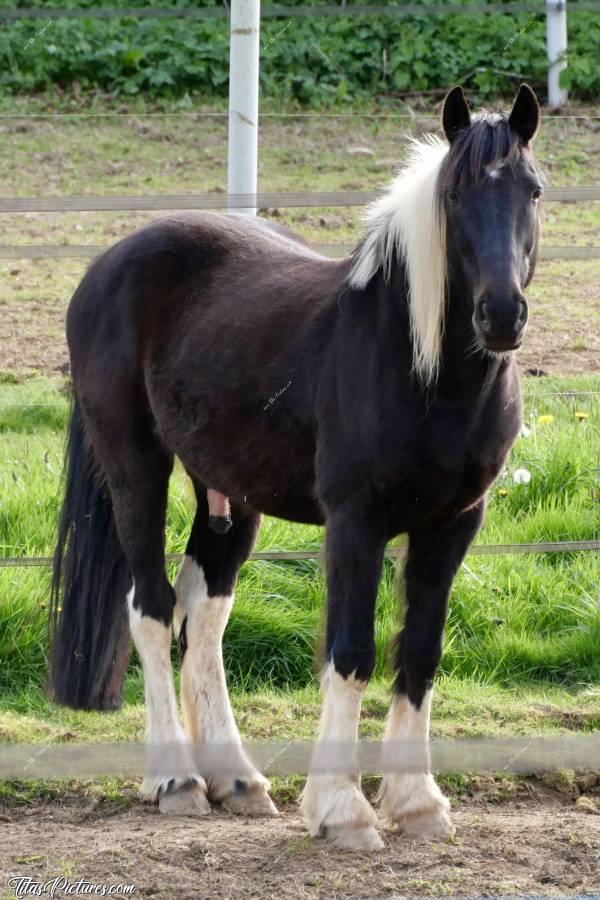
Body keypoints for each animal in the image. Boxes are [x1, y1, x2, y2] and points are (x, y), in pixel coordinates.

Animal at [49, 86, 540, 852]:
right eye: (455, 195)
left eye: (533, 192)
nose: (501, 315)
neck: (418, 366)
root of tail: (109, 264)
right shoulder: (356, 523)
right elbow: (351, 652)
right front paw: (343, 810)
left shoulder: (454, 524)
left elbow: (420, 653)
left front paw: (417, 802)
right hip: (136, 472)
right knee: (151, 609)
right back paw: (177, 780)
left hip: (227, 495)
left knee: (205, 614)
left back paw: (237, 780)